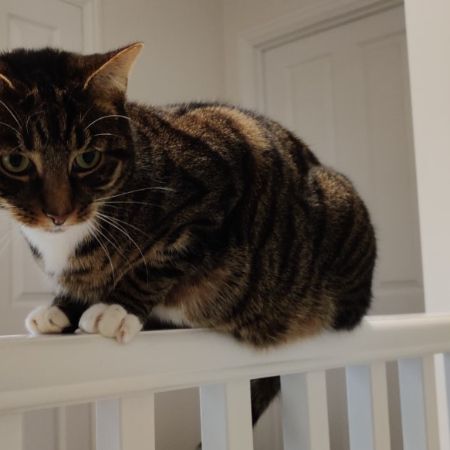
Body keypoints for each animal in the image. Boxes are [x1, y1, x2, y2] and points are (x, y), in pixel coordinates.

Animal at [0, 43, 376, 425]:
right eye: (16, 162)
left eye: (87, 158)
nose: (58, 214)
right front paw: (61, 309)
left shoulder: (211, 196)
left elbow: (156, 265)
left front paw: (116, 307)